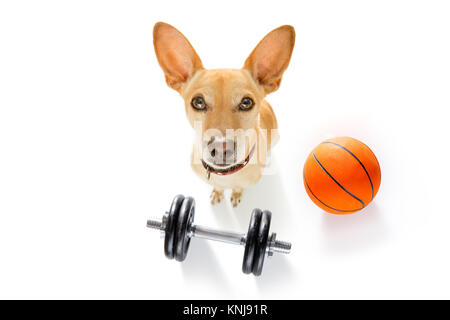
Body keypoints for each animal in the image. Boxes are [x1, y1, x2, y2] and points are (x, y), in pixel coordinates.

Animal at [154, 22, 296, 208]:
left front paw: (235, 194)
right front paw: (217, 192)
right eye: (198, 102)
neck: (225, 176)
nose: (221, 148)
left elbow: (238, 187)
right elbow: (218, 187)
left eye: (246, 102)